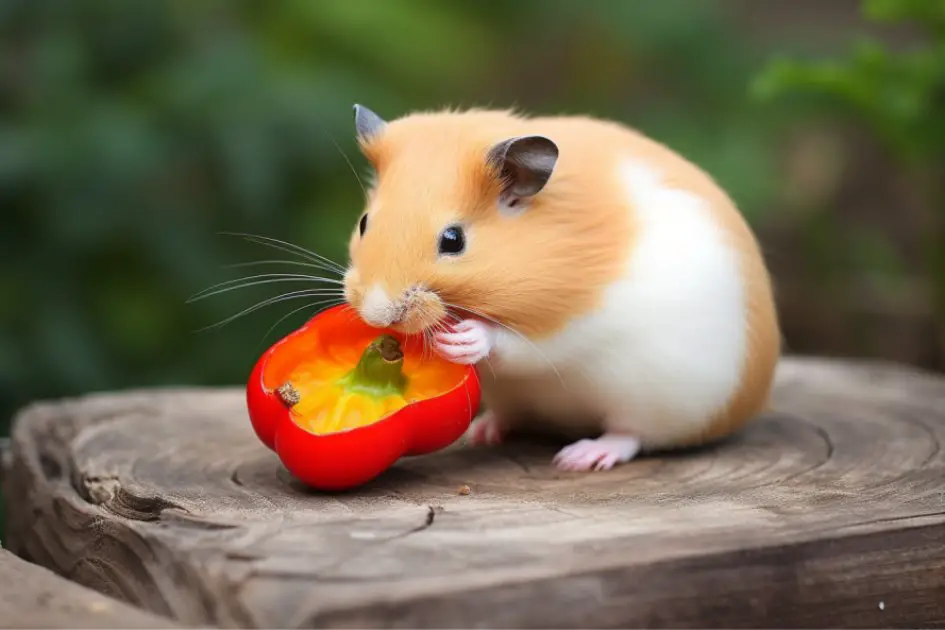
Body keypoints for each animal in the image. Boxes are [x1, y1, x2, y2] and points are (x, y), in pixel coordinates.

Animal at [342, 103, 780, 472]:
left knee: (632, 435)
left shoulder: (570, 326)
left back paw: (580, 457)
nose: (377, 314)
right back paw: (484, 432)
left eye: (453, 240)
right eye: (363, 222)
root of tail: (752, 400)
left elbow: (515, 343)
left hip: (659, 401)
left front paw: (463, 339)